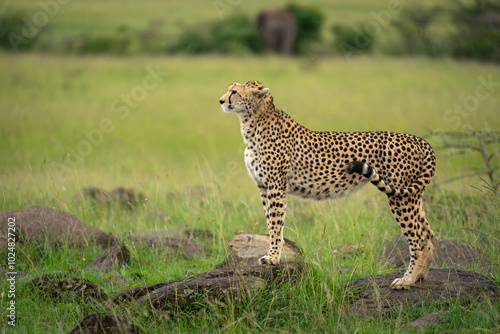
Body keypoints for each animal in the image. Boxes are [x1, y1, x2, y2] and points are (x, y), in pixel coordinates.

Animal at [219, 81, 438, 290]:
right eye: (229, 89)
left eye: (234, 91)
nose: (221, 101)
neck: (252, 121)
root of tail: (417, 139)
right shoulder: (263, 187)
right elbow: (271, 222)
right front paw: (273, 254)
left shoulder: (276, 185)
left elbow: (274, 224)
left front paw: (272, 258)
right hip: (412, 195)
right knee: (431, 236)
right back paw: (420, 276)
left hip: (399, 196)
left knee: (418, 240)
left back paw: (406, 281)